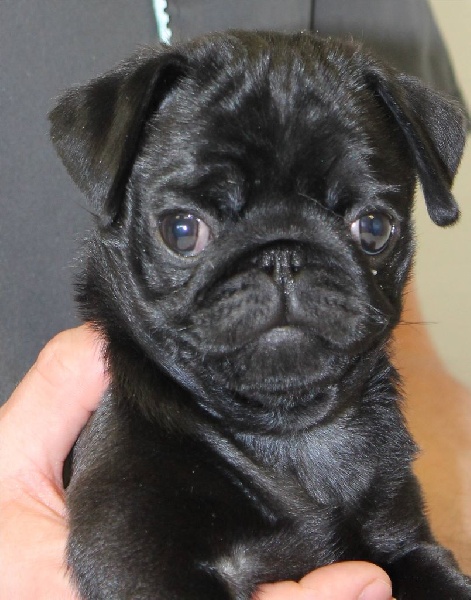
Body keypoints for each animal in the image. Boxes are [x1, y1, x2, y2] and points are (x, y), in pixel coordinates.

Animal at [49, 31, 471, 599]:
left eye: (373, 228)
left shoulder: (404, 542)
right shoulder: (131, 552)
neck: (292, 436)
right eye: (182, 230)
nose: (283, 254)